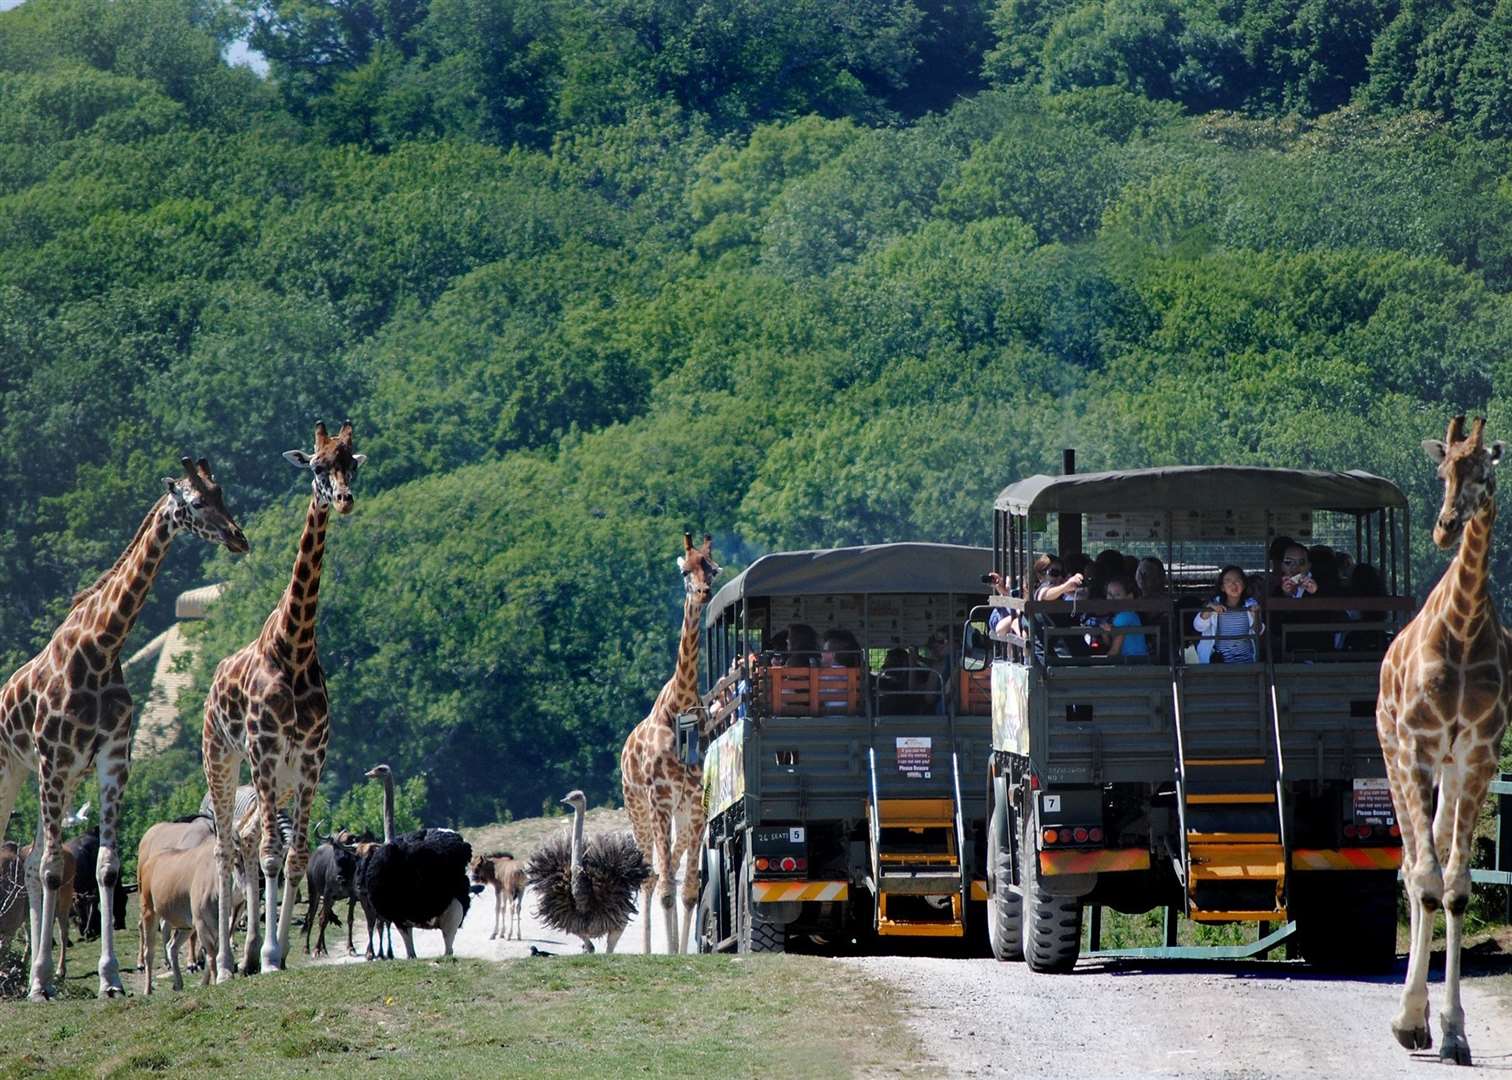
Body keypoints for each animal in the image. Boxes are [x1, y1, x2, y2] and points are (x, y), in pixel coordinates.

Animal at [0, 459, 246, 998]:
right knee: (32, 861)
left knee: (29, 863)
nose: (238, 538)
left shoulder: (110, 760)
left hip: (58, 779)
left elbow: (106, 868)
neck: (100, 648)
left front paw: (109, 979)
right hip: (15, 770)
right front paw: (44, 985)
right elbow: (55, 870)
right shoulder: (54, 760)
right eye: (196, 502)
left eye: (222, 492)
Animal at [201, 420, 365, 974]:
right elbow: (273, 852)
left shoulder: (311, 760)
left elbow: (292, 858)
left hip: (284, 778)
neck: (294, 648)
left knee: (249, 840)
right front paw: (271, 954)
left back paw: (250, 950)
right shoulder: (266, 753)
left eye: (351, 462)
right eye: (316, 466)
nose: (343, 499)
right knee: (228, 847)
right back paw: (227, 963)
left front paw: (278, 949)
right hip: (224, 761)